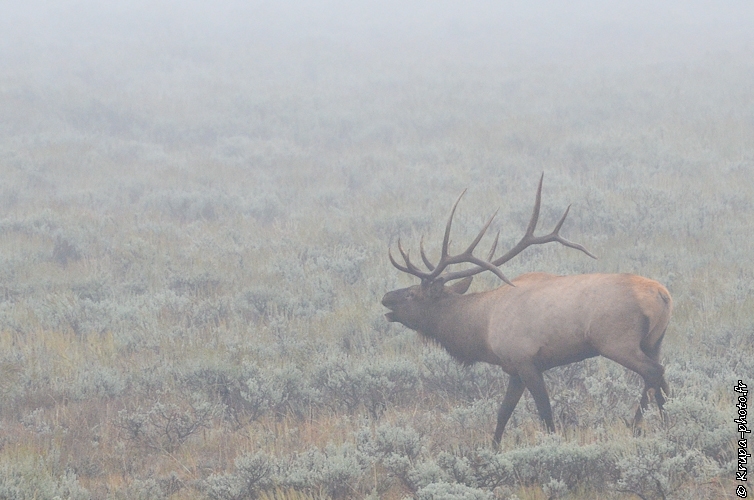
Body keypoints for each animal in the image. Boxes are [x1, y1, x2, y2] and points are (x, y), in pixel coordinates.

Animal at [382, 175, 668, 446]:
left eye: (411, 294)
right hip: (653, 342)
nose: (385, 297)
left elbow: (544, 412)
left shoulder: (526, 360)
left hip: (617, 342)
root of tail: (662, 294)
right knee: (660, 380)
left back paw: (637, 426)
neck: (483, 328)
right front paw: (493, 449)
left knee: (653, 373)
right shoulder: (513, 368)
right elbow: (503, 413)